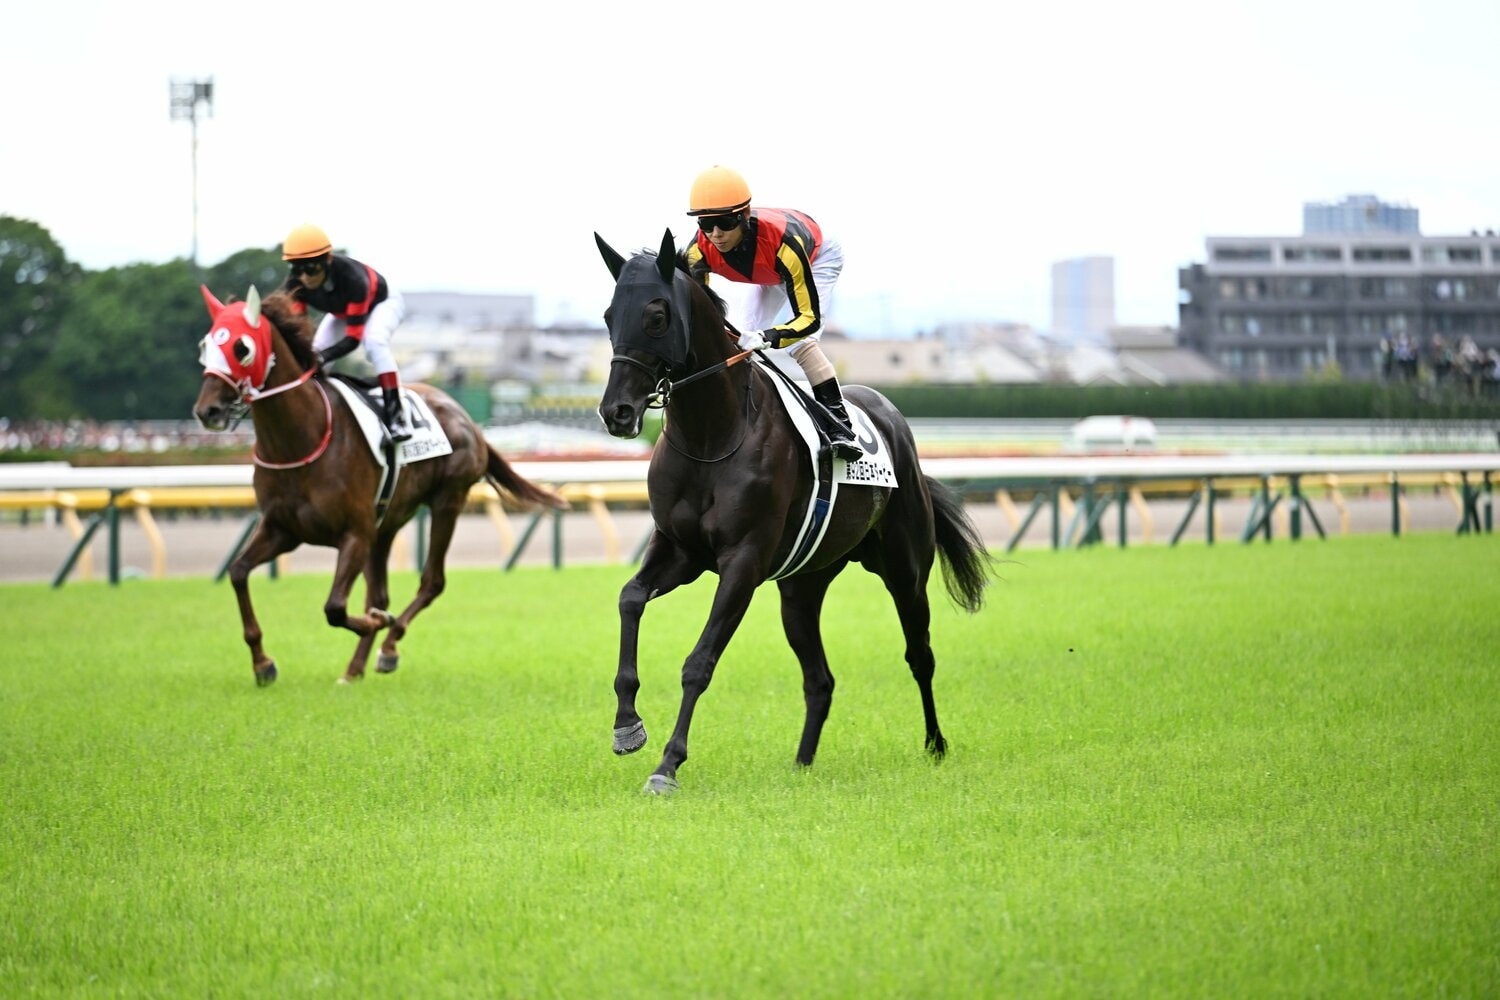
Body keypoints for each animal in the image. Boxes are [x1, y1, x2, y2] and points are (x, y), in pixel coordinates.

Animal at [192, 285, 565, 686]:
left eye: (241, 347)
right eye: (205, 345)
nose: (207, 410)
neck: (301, 440)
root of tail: (465, 417)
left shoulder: (354, 533)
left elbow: (335, 608)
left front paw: (375, 624)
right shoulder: (283, 529)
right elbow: (238, 572)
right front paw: (263, 663)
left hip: (447, 500)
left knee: (431, 582)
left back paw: (387, 647)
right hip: (387, 523)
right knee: (381, 592)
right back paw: (355, 667)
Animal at [594, 230, 992, 794]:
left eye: (655, 316)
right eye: (610, 315)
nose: (617, 413)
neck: (712, 434)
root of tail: (893, 419)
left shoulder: (742, 562)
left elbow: (699, 662)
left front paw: (668, 765)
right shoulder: (680, 551)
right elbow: (630, 598)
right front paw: (627, 725)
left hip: (905, 570)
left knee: (920, 655)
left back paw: (935, 745)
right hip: (802, 588)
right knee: (819, 679)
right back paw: (803, 764)